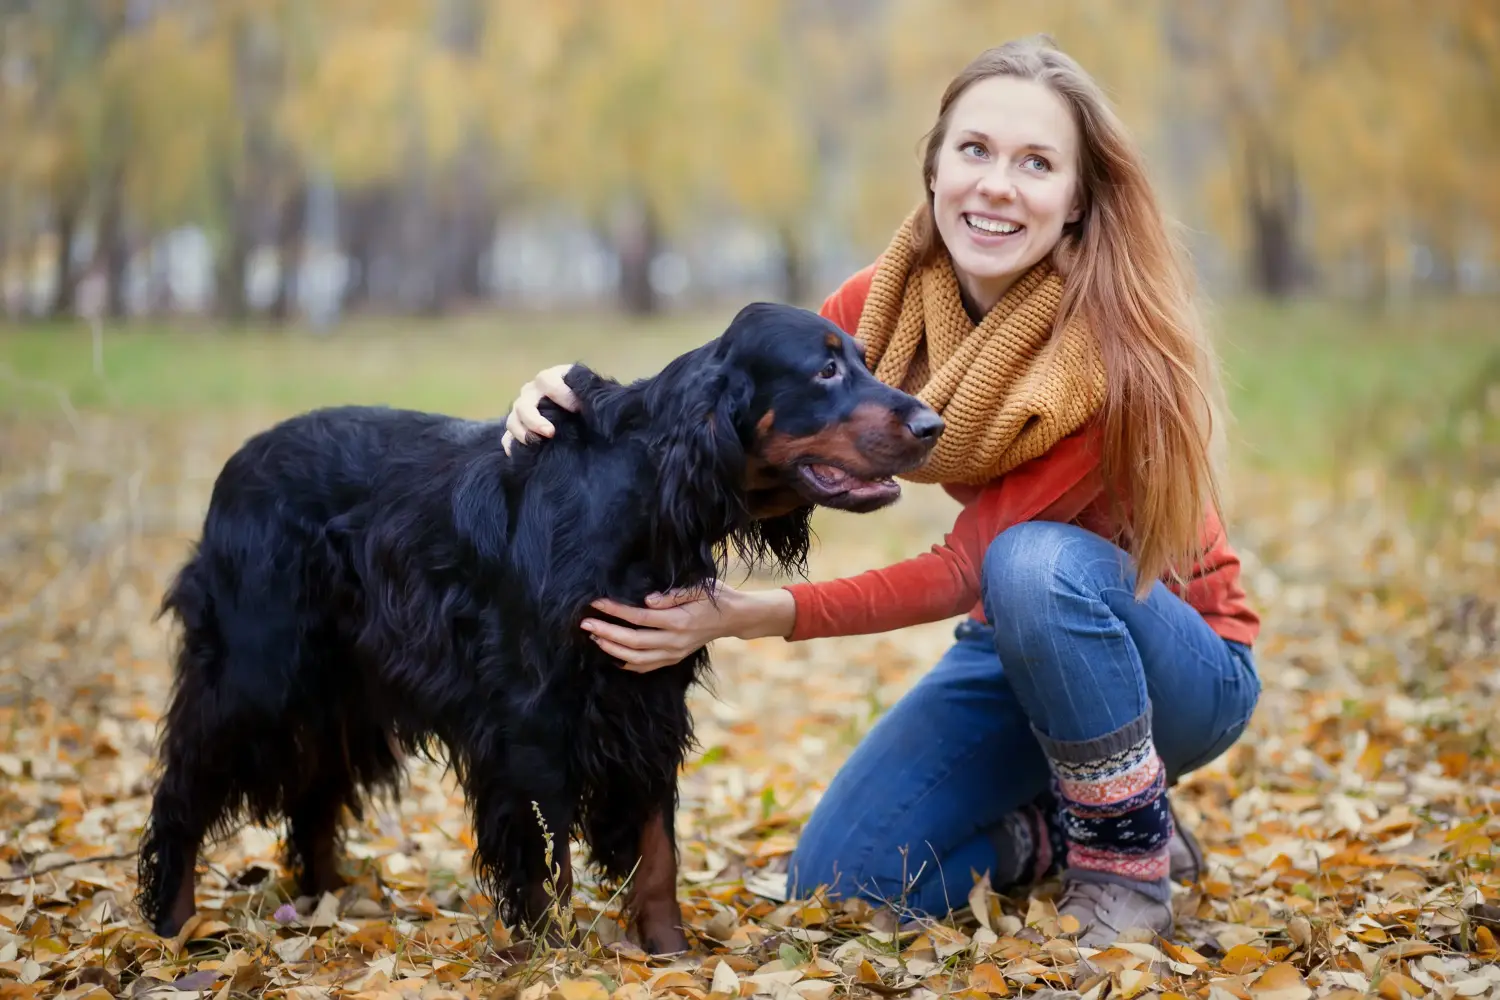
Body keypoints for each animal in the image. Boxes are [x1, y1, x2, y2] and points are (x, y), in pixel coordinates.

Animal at [135, 302, 942, 953]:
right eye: (825, 369)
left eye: (863, 360)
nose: (931, 424)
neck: (638, 492)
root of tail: (235, 466)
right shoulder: (529, 712)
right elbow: (542, 854)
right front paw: (551, 958)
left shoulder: (646, 697)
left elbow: (657, 851)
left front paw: (669, 952)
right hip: (255, 674)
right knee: (183, 793)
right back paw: (175, 928)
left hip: (342, 689)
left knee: (313, 796)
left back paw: (331, 905)